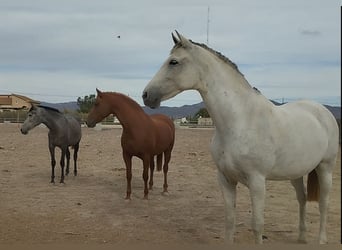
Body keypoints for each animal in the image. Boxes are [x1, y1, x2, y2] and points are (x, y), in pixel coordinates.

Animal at [142, 30, 340, 243]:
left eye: (174, 62)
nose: (146, 95)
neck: (240, 121)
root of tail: (322, 111)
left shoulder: (257, 182)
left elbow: (257, 225)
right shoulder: (226, 179)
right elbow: (230, 221)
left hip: (325, 167)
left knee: (324, 203)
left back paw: (321, 240)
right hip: (295, 171)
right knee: (302, 198)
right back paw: (302, 237)